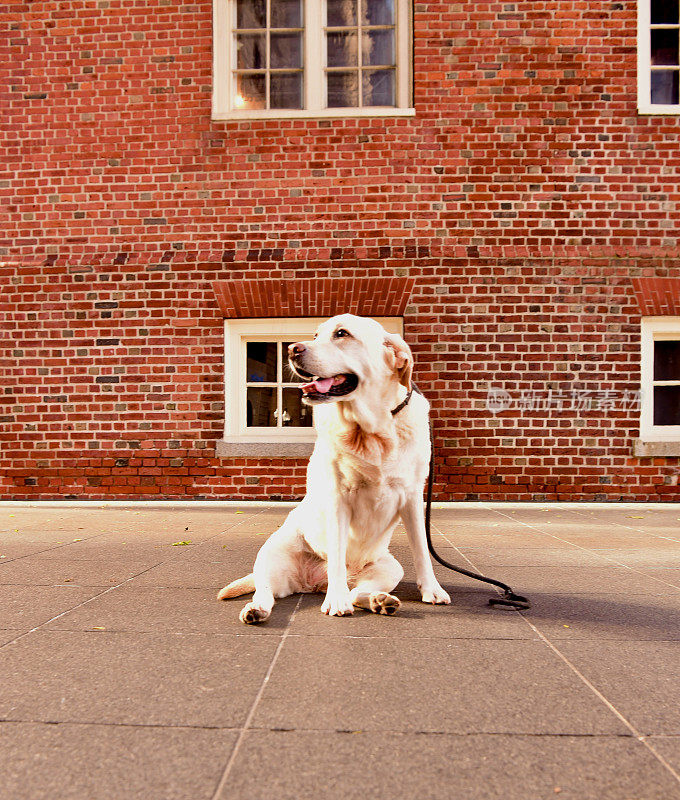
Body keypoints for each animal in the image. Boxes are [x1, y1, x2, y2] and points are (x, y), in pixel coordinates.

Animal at [219, 314, 452, 624]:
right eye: (316, 335)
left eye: (342, 334)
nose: (292, 349)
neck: (370, 433)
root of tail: (313, 584)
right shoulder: (338, 498)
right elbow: (338, 555)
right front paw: (336, 601)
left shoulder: (413, 498)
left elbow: (422, 550)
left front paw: (432, 589)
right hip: (270, 557)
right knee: (265, 591)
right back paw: (258, 609)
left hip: (389, 567)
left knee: (359, 592)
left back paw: (380, 601)